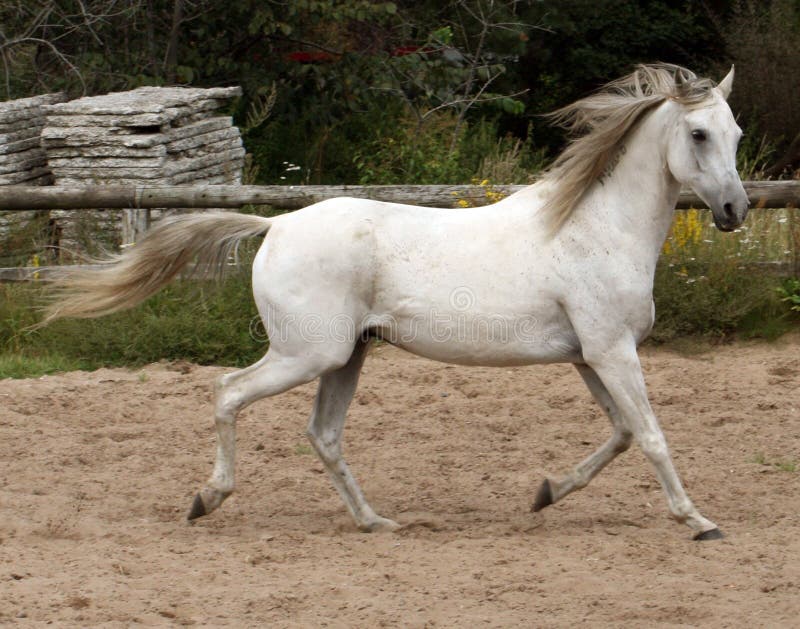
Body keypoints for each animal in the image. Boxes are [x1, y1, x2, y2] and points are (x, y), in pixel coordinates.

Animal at [47, 66, 752, 544]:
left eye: (737, 133)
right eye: (698, 133)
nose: (734, 211)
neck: (595, 227)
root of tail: (274, 226)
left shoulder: (591, 356)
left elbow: (623, 433)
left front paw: (547, 493)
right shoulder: (611, 351)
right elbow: (652, 436)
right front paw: (699, 521)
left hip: (346, 357)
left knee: (324, 435)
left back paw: (375, 521)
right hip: (308, 353)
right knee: (228, 391)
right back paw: (207, 499)